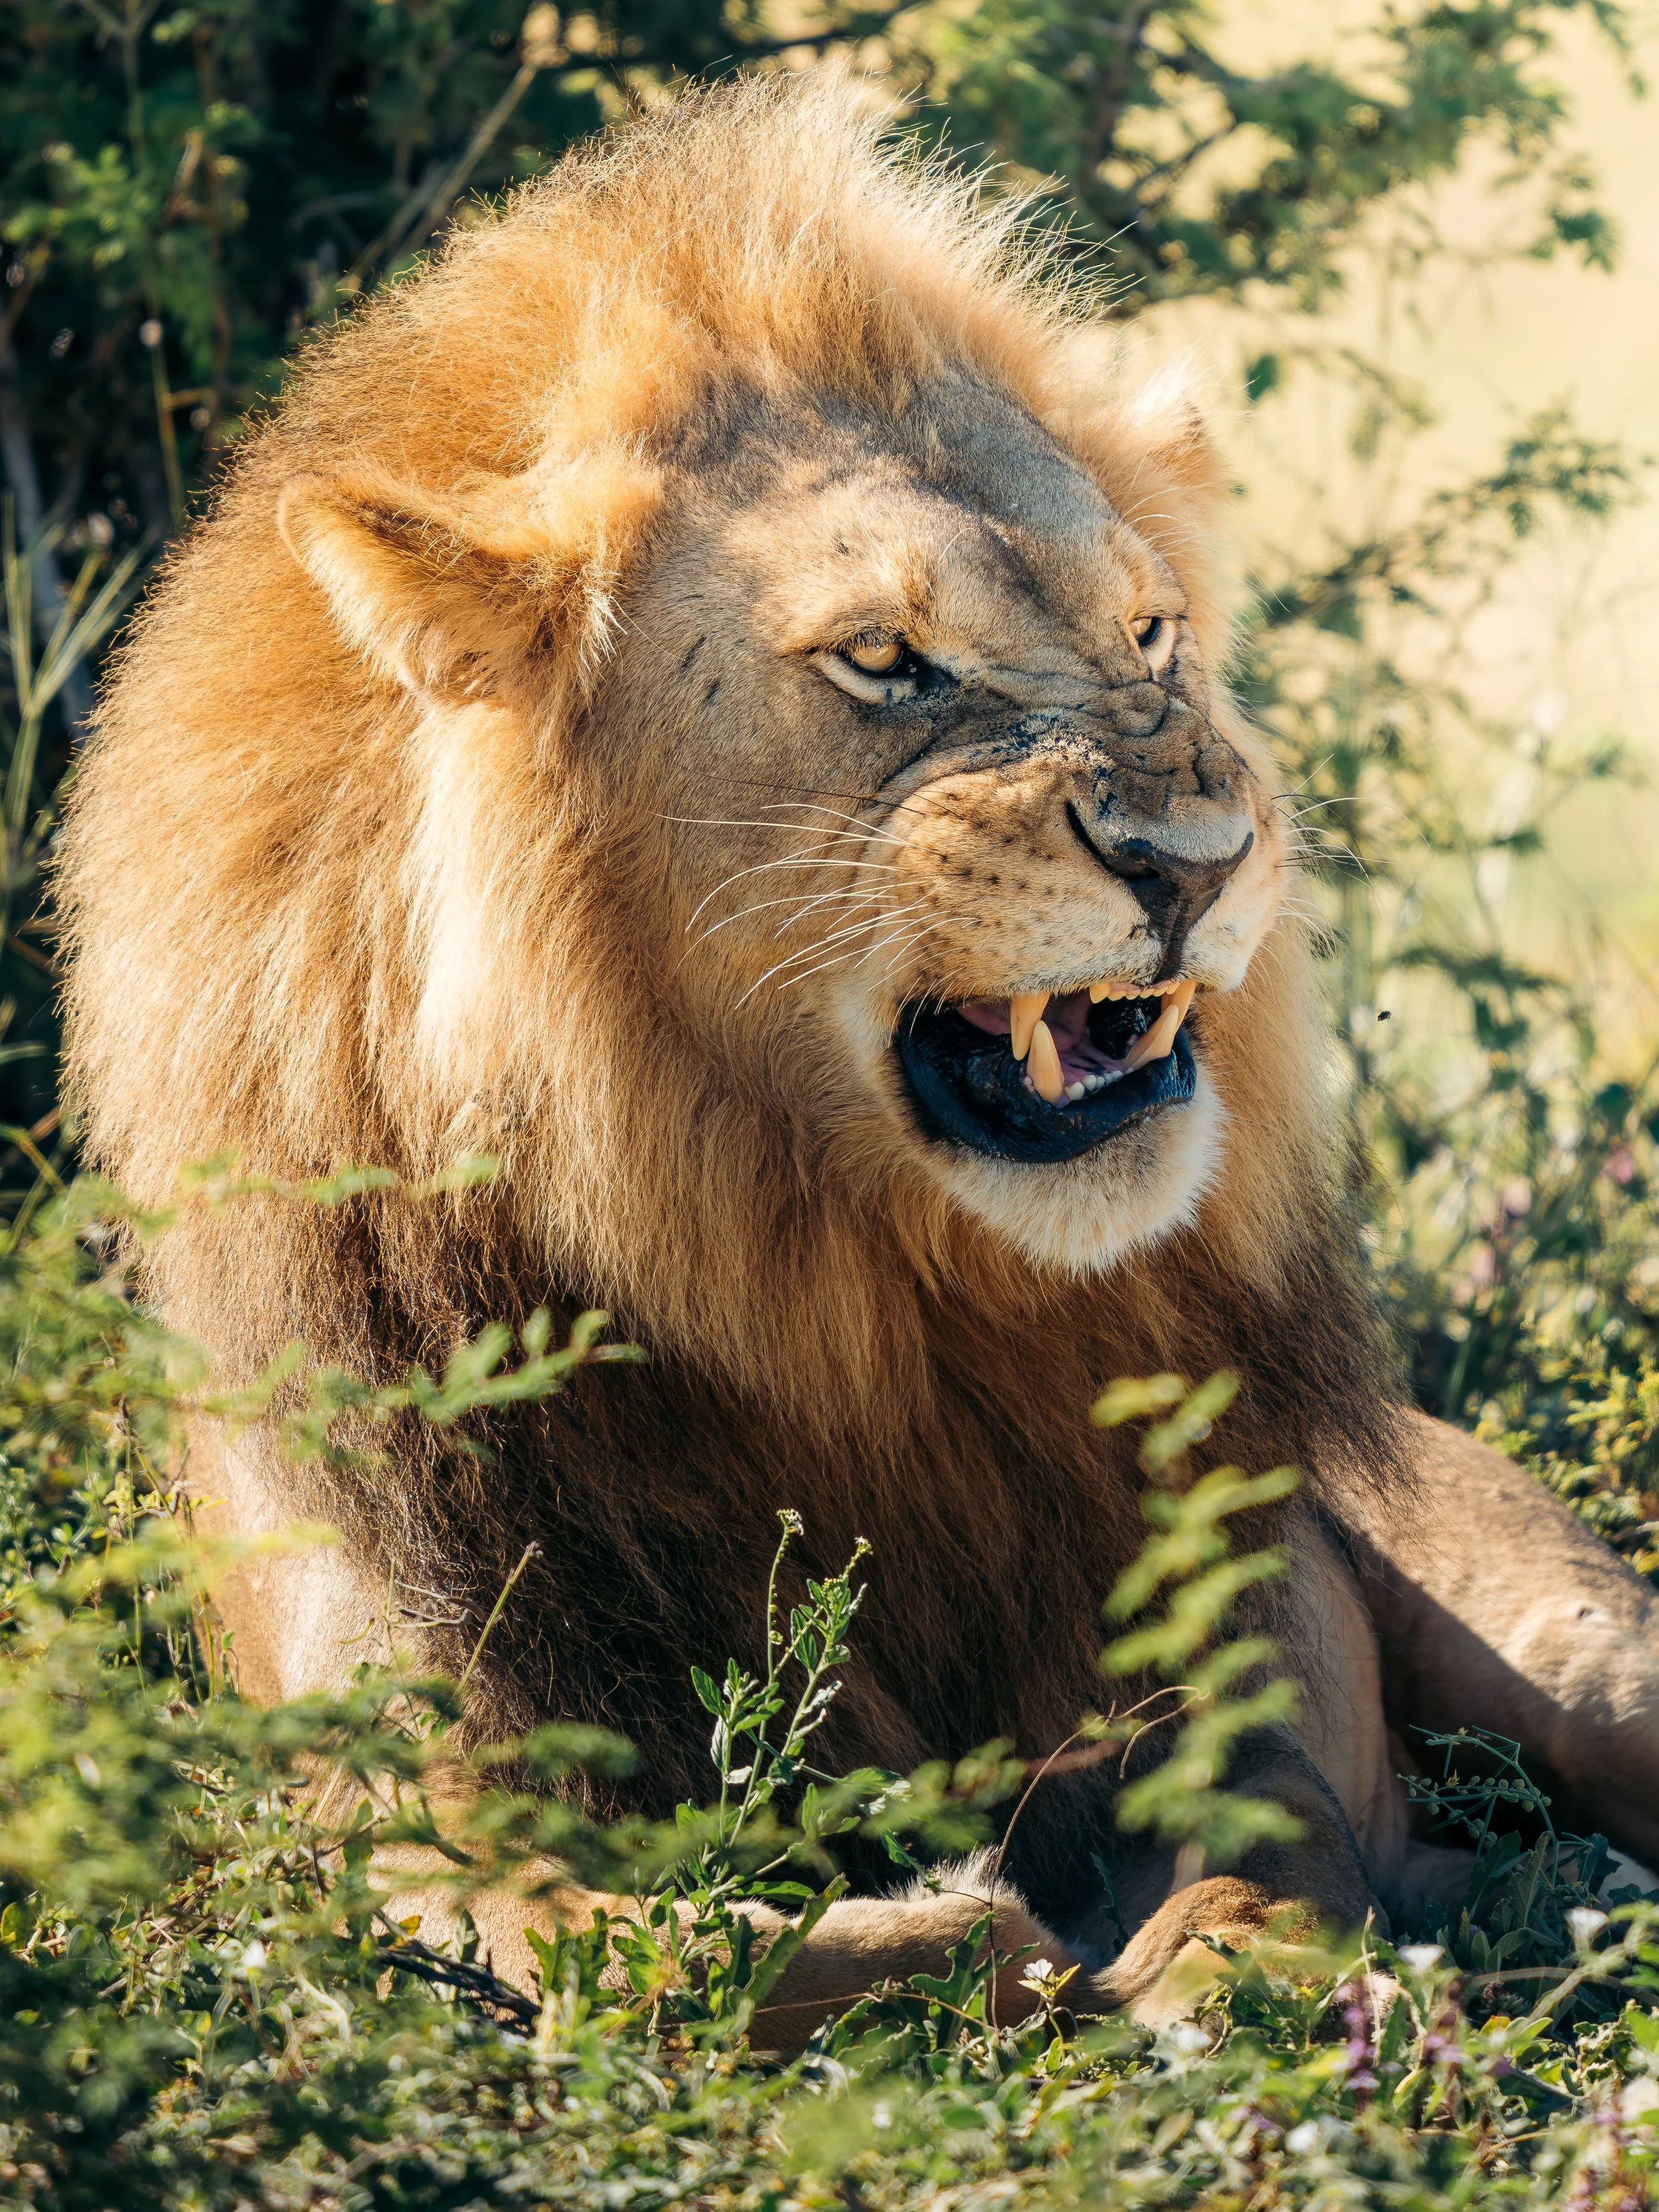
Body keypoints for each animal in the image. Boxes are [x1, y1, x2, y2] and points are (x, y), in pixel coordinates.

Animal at [58, 74, 1659, 2043]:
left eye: (1151, 632)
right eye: (887, 658)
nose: (1201, 856)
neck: (837, 1291)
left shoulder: (1234, 1607)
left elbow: (1267, 1828)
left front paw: (1236, 1964)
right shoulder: (409, 1754)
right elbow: (643, 1960)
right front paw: (967, 1932)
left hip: (1580, 1644)